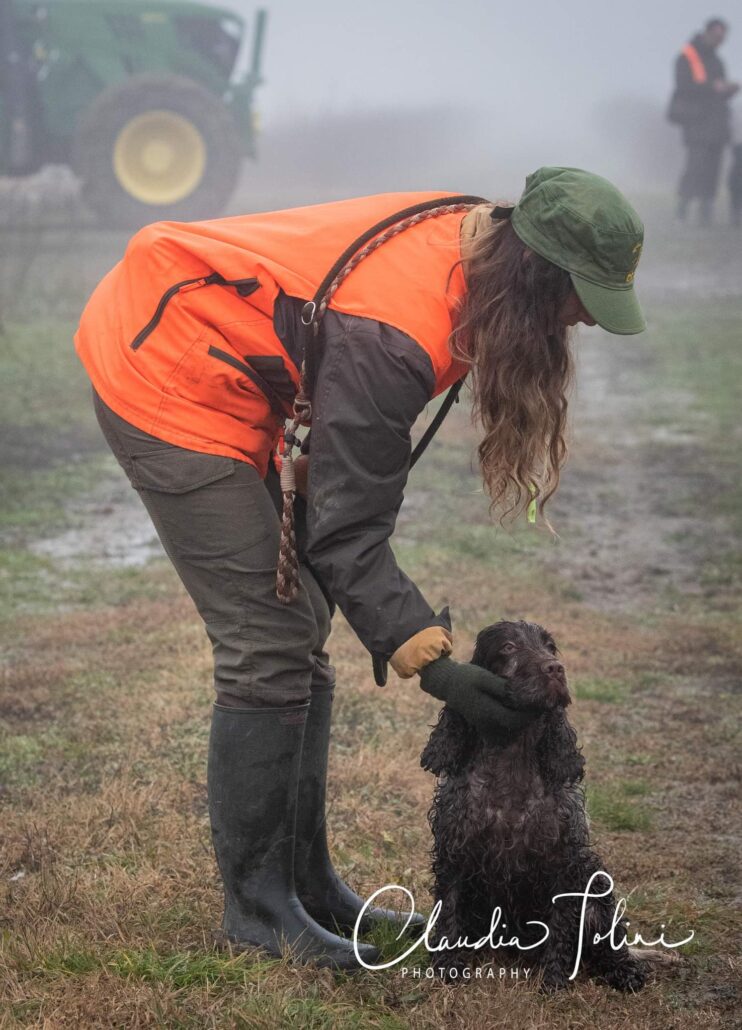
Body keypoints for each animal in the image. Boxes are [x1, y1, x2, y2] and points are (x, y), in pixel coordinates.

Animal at [420, 620, 647, 992]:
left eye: (551, 647)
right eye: (509, 647)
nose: (555, 669)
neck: (513, 758)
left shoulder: (564, 861)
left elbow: (561, 926)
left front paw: (554, 979)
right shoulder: (455, 852)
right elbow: (449, 911)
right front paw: (447, 966)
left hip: (595, 880)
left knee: (607, 940)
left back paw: (624, 970)